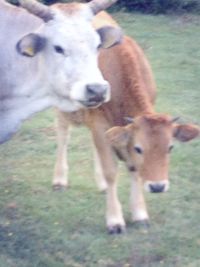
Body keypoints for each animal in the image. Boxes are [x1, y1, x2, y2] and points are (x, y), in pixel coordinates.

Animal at [52, 10, 199, 233]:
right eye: (139, 148)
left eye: (170, 147)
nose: (157, 186)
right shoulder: (100, 124)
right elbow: (111, 171)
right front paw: (115, 220)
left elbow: (133, 169)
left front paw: (140, 214)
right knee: (63, 135)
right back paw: (59, 180)